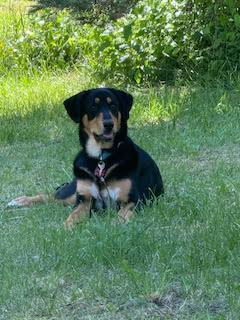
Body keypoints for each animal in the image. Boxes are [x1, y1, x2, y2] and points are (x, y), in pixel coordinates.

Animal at [8, 87, 164, 228]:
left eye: (113, 105)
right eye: (93, 106)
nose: (109, 124)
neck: (101, 158)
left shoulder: (133, 201)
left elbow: (121, 217)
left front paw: (114, 226)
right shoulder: (84, 200)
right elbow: (72, 216)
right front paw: (66, 228)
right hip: (73, 193)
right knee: (50, 196)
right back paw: (21, 201)